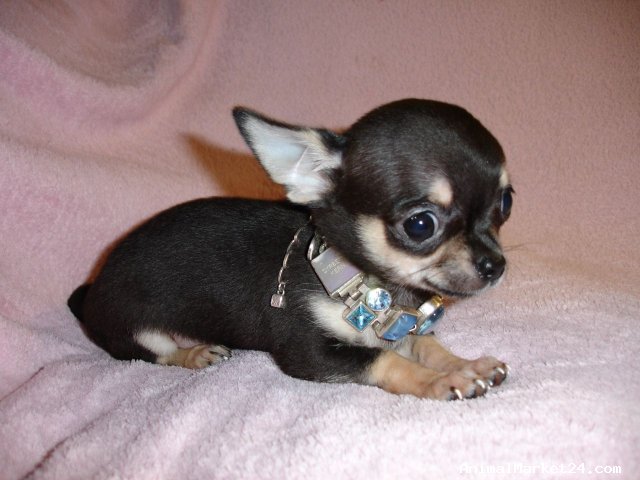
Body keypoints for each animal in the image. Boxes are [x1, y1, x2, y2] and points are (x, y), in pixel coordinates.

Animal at [68, 98, 513, 400]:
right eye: (421, 225)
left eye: (506, 204)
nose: (496, 265)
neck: (362, 283)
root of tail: (93, 286)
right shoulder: (308, 352)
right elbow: (385, 359)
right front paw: (441, 380)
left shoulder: (404, 327)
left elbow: (426, 343)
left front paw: (462, 364)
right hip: (136, 330)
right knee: (156, 355)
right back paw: (194, 353)